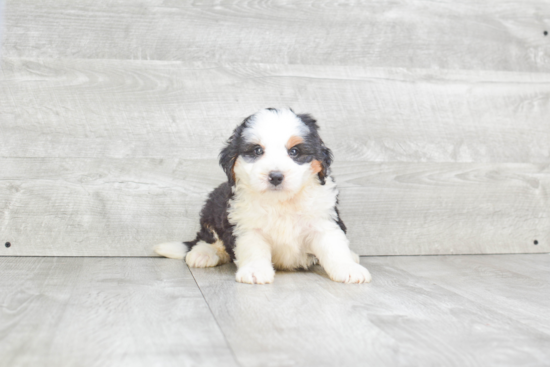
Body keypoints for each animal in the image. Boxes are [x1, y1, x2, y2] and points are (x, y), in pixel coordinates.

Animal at [154, 108, 376, 286]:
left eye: (294, 151)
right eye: (257, 150)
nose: (276, 176)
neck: (281, 202)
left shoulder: (323, 222)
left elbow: (334, 248)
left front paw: (348, 269)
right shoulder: (246, 227)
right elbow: (254, 250)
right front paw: (255, 271)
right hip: (213, 206)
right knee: (208, 238)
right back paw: (203, 254)